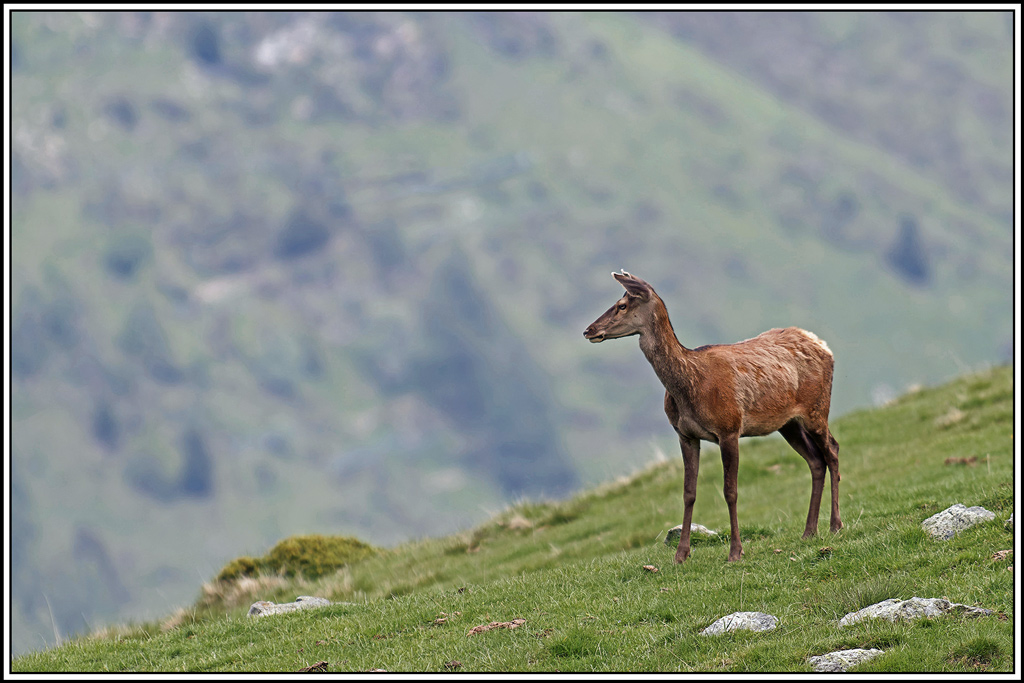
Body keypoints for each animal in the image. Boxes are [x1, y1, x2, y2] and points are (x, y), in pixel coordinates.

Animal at [584, 270, 842, 563]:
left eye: (622, 305)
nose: (589, 330)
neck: (689, 388)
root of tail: (823, 345)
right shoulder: (685, 434)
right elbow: (689, 493)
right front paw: (681, 554)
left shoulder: (729, 428)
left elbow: (730, 491)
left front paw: (735, 551)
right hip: (787, 423)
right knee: (815, 461)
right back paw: (809, 531)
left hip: (816, 408)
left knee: (832, 450)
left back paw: (835, 525)